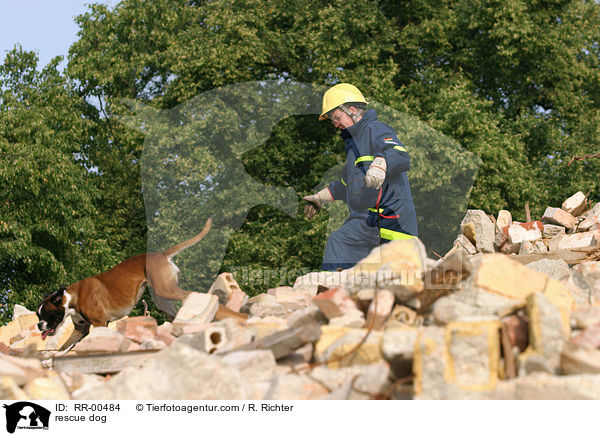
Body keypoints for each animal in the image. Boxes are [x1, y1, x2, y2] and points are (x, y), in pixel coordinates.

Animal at [37, 218, 244, 340]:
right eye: (38, 316)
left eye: (46, 314)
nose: (39, 325)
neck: (72, 297)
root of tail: (161, 255)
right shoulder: (80, 330)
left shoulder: (100, 324)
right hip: (162, 299)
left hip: (166, 290)